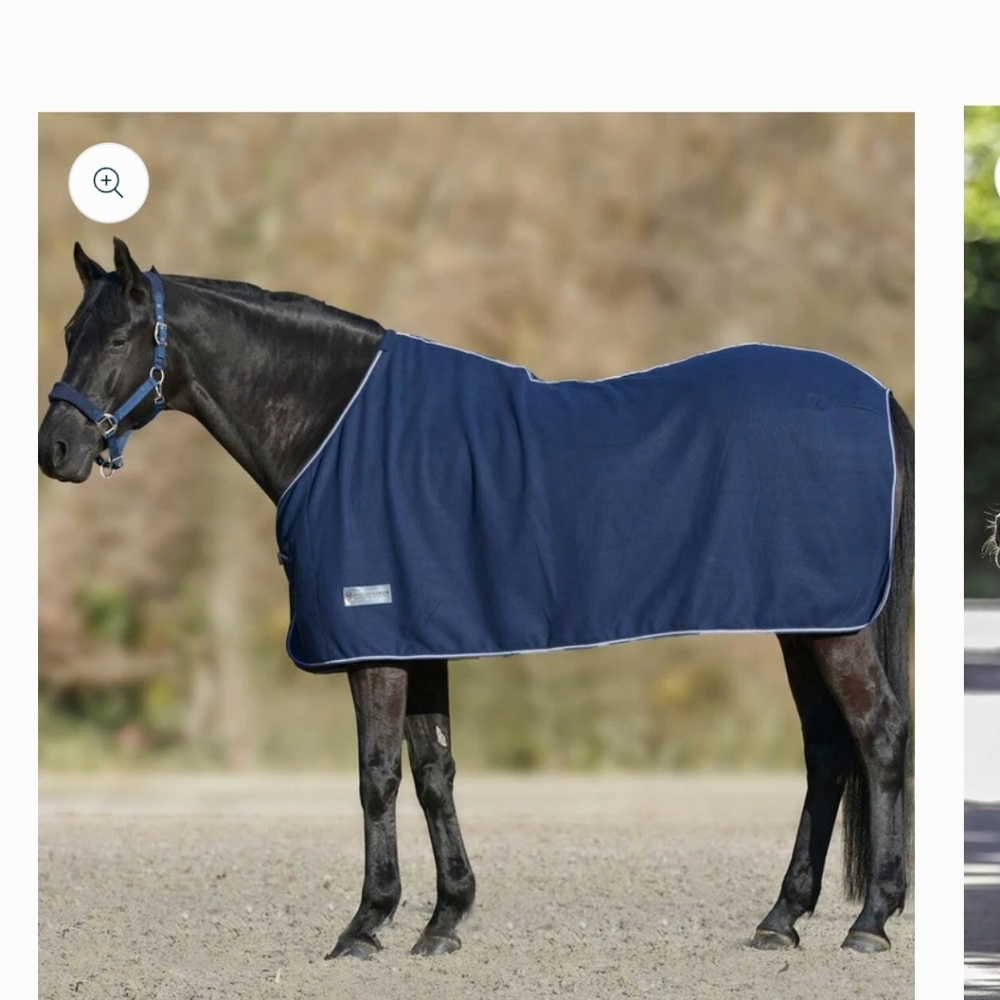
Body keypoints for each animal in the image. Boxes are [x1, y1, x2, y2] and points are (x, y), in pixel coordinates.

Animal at [38, 239, 914, 959]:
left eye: (116, 339)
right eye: (69, 333)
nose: (57, 449)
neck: (335, 426)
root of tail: (876, 396)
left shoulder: (377, 646)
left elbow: (378, 776)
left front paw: (366, 925)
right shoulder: (417, 640)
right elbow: (435, 772)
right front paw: (444, 919)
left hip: (833, 629)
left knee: (878, 734)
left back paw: (870, 921)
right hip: (806, 622)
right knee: (827, 750)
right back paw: (782, 919)